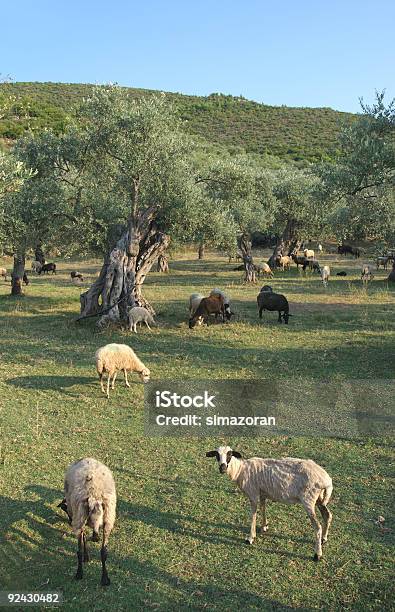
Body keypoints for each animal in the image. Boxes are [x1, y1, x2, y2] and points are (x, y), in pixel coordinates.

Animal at [57, 456, 116, 584]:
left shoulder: (78, 519)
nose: (70, 522)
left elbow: (83, 544)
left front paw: (85, 561)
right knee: (103, 551)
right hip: (107, 519)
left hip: (82, 517)